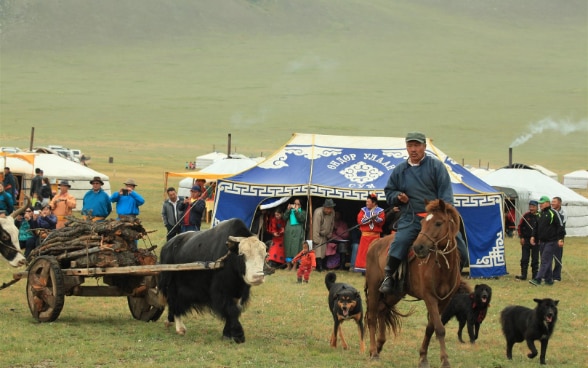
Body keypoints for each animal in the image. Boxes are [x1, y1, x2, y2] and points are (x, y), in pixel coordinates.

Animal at [362, 200, 468, 368]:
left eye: (438, 223)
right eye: (423, 222)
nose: (418, 247)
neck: (442, 267)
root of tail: (375, 243)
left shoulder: (444, 300)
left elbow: (431, 327)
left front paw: (423, 357)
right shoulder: (430, 297)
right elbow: (439, 328)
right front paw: (444, 360)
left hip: (395, 293)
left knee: (382, 310)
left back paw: (379, 345)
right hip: (374, 288)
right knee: (372, 317)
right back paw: (373, 352)